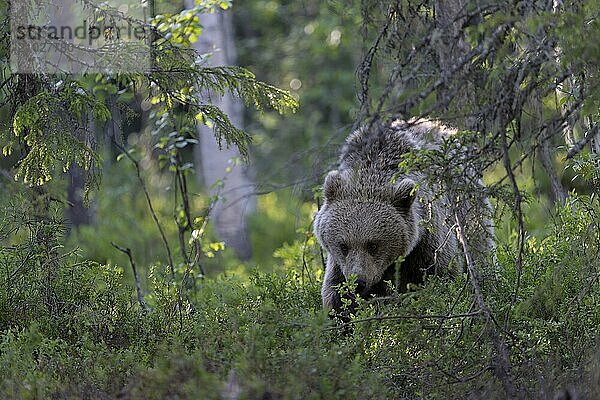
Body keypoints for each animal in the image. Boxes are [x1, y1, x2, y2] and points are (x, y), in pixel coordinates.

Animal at [314, 118, 492, 312]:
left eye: (373, 245)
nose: (359, 282)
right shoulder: (338, 265)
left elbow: (442, 274)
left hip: (468, 207)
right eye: (343, 245)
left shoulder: (427, 241)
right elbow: (335, 295)